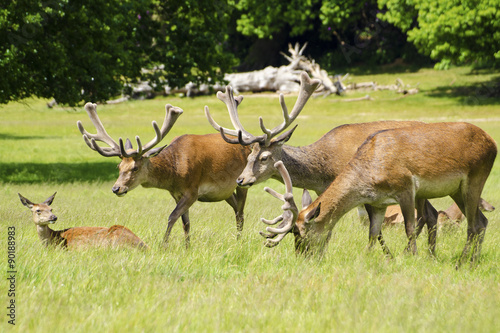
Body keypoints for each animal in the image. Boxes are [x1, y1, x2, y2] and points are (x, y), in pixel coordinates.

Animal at [205, 71, 440, 254]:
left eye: (264, 157)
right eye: (248, 156)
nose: (241, 179)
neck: (322, 170)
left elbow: (374, 227)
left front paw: (386, 255)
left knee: (427, 215)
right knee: (431, 214)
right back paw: (430, 253)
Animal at [262, 120, 496, 266]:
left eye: (298, 233)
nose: (302, 257)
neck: (369, 173)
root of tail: (492, 142)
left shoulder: (406, 187)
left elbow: (410, 228)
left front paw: (412, 258)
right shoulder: (377, 203)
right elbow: (373, 232)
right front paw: (365, 259)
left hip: (476, 177)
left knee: (473, 225)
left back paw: (463, 262)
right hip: (458, 189)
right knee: (482, 221)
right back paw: (473, 260)